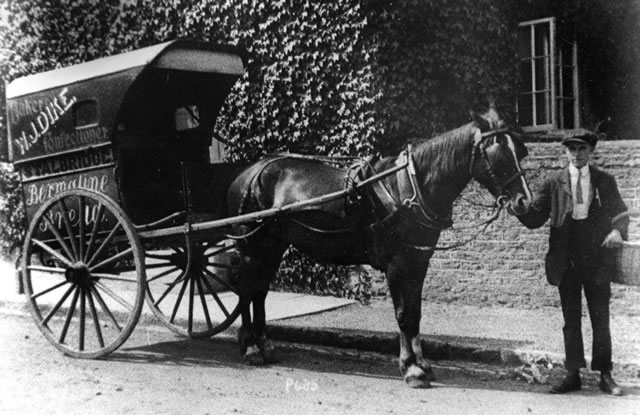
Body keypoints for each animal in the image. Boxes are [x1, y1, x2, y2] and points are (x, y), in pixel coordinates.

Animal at [225, 105, 528, 390]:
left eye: (521, 151)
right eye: (498, 152)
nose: (525, 202)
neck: (409, 186)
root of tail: (248, 174)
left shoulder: (419, 261)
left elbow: (416, 313)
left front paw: (422, 364)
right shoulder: (397, 264)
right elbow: (404, 315)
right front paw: (411, 369)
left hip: (272, 247)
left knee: (259, 291)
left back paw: (265, 345)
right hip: (252, 247)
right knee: (248, 289)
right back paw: (250, 347)